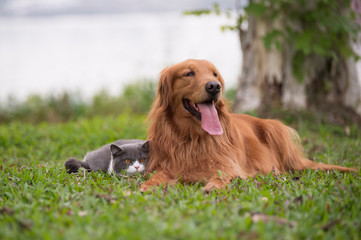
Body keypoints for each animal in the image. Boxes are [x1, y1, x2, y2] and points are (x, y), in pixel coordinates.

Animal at [139, 59, 356, 192]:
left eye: (214, 74)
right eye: (189, 73)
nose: (214, 86)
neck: (192, 136)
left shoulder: (231, 166)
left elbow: (223, 175)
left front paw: (213, 186)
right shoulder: (166, 165)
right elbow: (158, 176)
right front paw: (149, 186)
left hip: (275, 127)